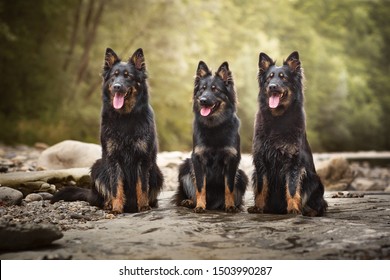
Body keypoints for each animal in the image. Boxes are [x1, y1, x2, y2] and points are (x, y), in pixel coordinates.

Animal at [50, 47, 163, 212]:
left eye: (127, 76)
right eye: (114, 76)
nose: (116, 86)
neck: (125, 117)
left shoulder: (143, 159)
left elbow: (142, 186)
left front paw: (143, 207)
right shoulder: (113, 158)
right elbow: (116, 187)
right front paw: (116, 209)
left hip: (156, 171)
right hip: (97, 166)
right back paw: (108, 204)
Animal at [173, 61, 248, 213]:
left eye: (215, 90)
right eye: (202, 89)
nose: (202, 100)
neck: (214, 126)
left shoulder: (232, 159)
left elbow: (229, 188)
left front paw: (230, 206)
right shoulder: (197, 159)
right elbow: (200, 187)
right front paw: (200, 206)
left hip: (242, 176)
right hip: (184, 167)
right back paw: (190, 202)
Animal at [248, 50, 328, 217]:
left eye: (283, 77)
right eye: (269, 77)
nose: (272, 86)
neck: (277, 119)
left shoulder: (293, 163)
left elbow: (291, 188)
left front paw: (293, 210)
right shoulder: (261, 161)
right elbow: (261, 188)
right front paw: (258, 208)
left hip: (314, 179)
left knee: (321, 205)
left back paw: (309, 211)